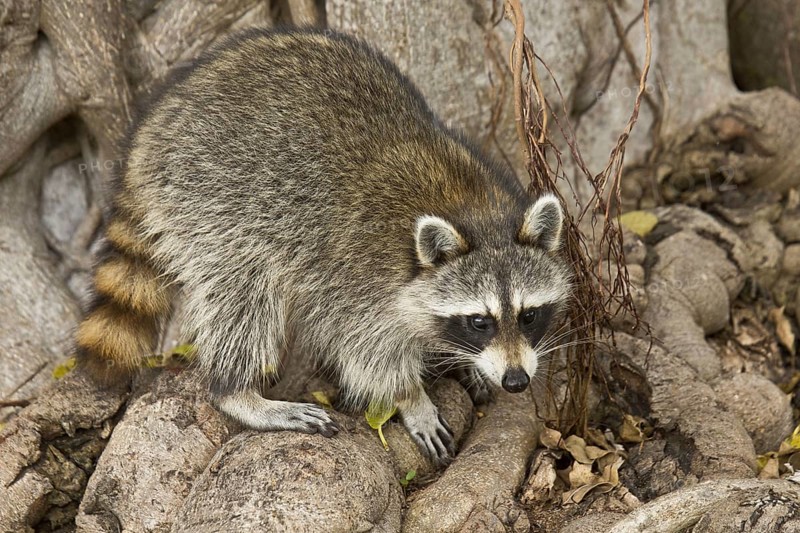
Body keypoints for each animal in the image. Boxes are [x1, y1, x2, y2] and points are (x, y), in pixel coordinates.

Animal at [76, 28, 571, 464]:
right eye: (479, 321)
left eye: (529, 315)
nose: (516, 381)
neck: (474, 212)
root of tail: (149, 134)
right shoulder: (358, 276)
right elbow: (365, 352)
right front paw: (411, 397)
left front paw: (467, 362)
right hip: (208, 199)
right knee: (244, 296)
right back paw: (237, 391)